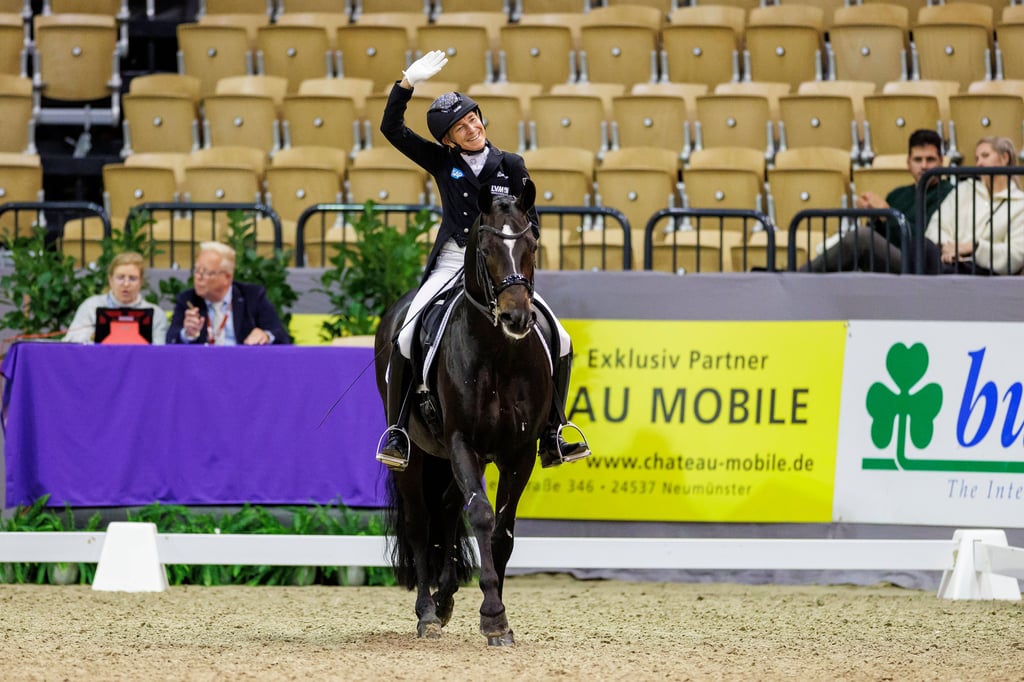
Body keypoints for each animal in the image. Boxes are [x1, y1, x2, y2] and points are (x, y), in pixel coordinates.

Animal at [374, 179, 552, 643]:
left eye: (532, 244)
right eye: (485, 248)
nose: (516, 317)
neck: (500, 354)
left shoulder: (519, 453)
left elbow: (502, 531)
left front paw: (498, 617)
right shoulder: (461, 441)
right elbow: (483, 517)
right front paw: (492, 614)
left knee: (448, 512)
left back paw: (445, 599)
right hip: (418, 454)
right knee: (421, 523)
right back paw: (427, 613)